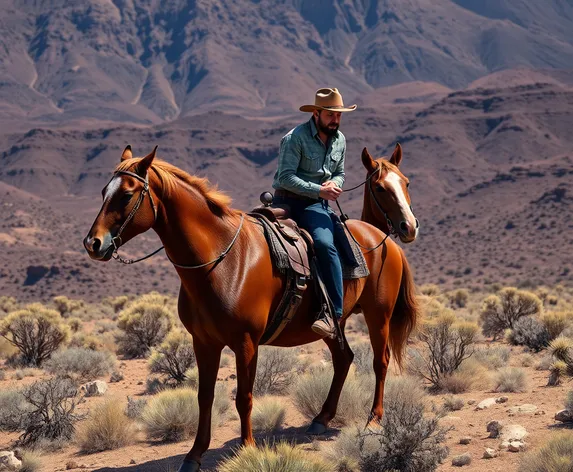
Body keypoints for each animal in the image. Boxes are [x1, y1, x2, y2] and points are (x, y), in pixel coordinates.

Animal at [82, 146, 418, 470]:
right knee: (344, 358)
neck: (222, 260)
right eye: (103, 192)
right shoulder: (204, 342)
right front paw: (194, 455)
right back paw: (321, 419)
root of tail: (382, 237)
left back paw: (373, 420)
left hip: (378, 316)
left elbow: (244, 397)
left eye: (126, 195)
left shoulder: (246, 343)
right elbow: (204, 396)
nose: (93, 243)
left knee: (380, 362)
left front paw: (246, 449)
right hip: (335, 324)